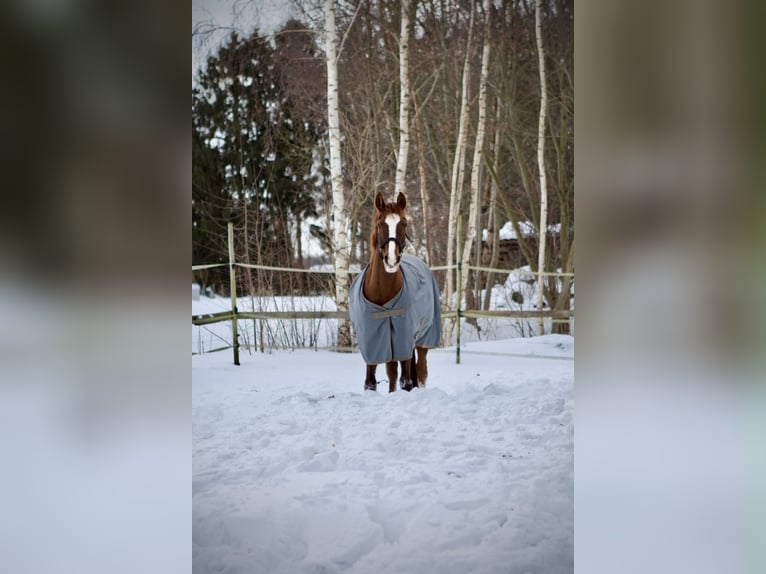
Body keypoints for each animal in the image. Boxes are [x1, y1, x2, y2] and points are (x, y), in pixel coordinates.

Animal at [348, 192, 442, 392]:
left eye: (404, 223)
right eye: (379, 224)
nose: (391, 260)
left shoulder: (404, 339)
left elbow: (406, 381)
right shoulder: (373, 343)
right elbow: (370, 383)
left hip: (423, 338)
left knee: (420, 372)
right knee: (392, 374)